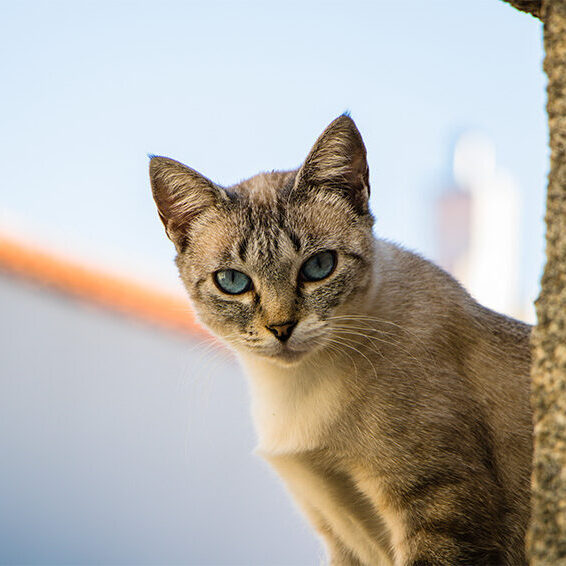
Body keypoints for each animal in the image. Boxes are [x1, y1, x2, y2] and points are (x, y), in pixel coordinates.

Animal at [150, 116, 532, 566]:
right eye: (232, 281)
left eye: (319, 266)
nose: (281, 328)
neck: (297, 392)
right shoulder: (341, 538)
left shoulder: (441, 512)